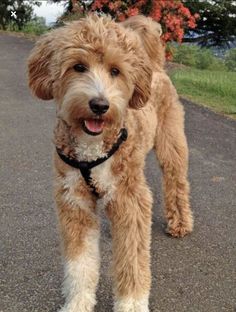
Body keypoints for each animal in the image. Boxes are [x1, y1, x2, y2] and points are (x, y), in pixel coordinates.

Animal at [28, 14, 194, 312]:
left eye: (115, 71)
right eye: (78, 67)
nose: (100, 105)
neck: (92, 149)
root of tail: (155, 67)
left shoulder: (130, 199)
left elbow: (132, 261)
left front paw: (131, 304)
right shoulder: (74, 201)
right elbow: (79, 263)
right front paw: (77, 303)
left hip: (171, 141)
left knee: (176, 181)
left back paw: (180, 223)